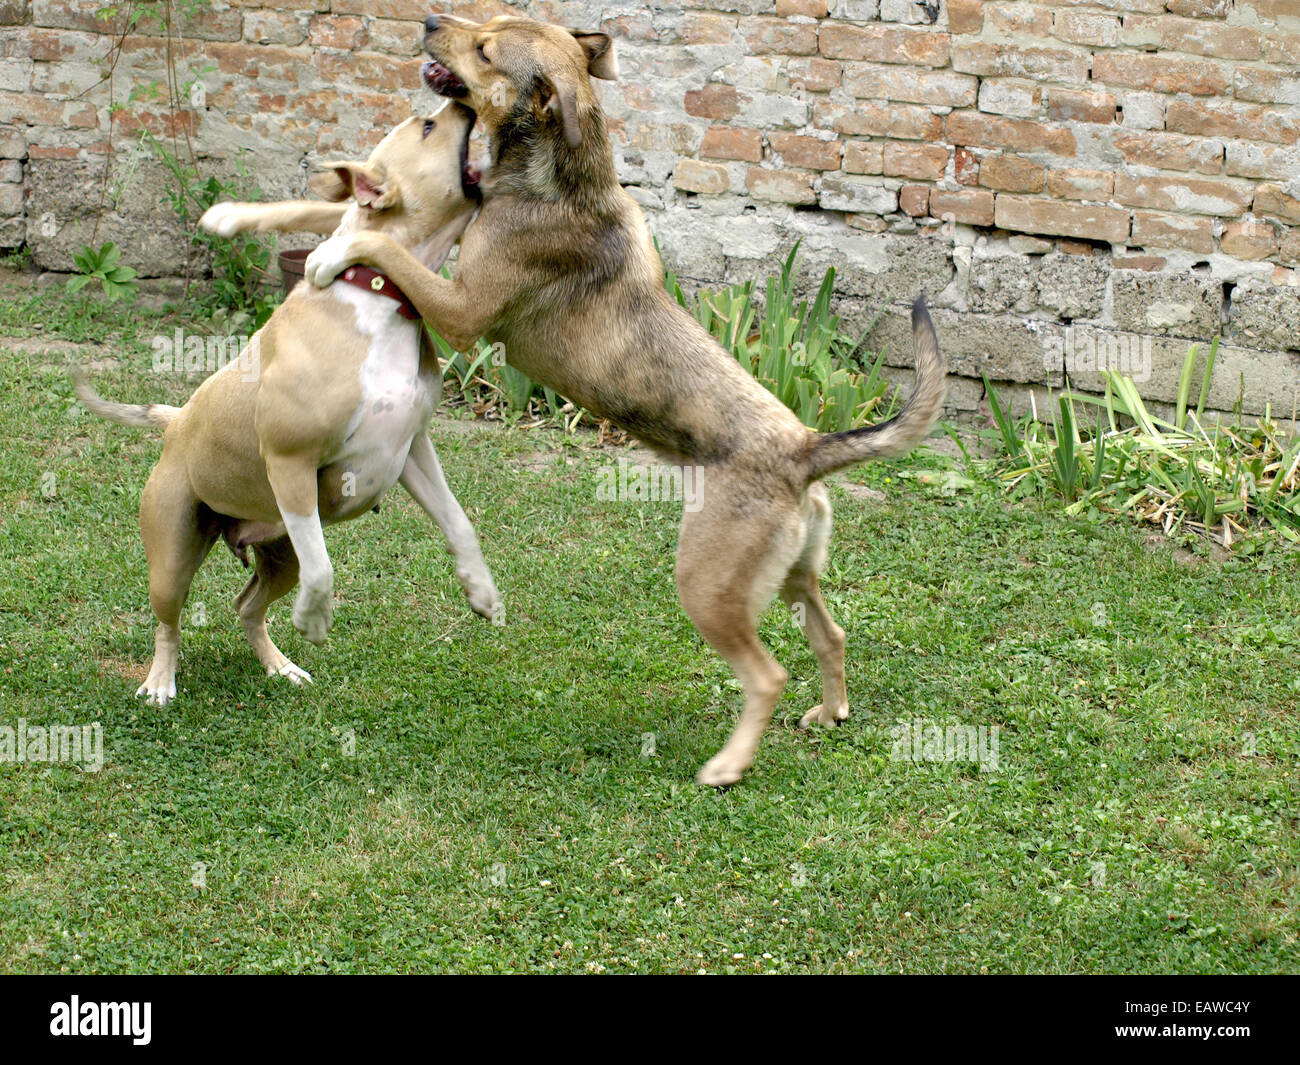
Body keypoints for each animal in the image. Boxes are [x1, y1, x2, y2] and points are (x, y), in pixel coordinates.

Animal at [76, 102, 499, 707]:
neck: (375, 293)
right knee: (169, 622)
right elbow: (324, 568)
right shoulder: (290, 464)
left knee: (246, 606)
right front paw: (315, 619)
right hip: (173, 556)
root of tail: (177, 421)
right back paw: (160, 682)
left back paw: (279, 666)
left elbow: (459, 522)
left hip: (278, 558)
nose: (463, 101)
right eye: (427, 128)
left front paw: (482, 591)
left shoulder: (410, 450)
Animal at [292, 12, 946, 785]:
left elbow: (386, 251)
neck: (555, 178)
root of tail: (805, 448)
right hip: (791, 576)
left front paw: (332, 254)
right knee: (831, 633)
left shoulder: (462, 311)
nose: (427, 20)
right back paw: (831, 710)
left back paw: (727, 765)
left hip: (708, 585)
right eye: (488, 18)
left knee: (767, 674)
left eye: (484, 47)